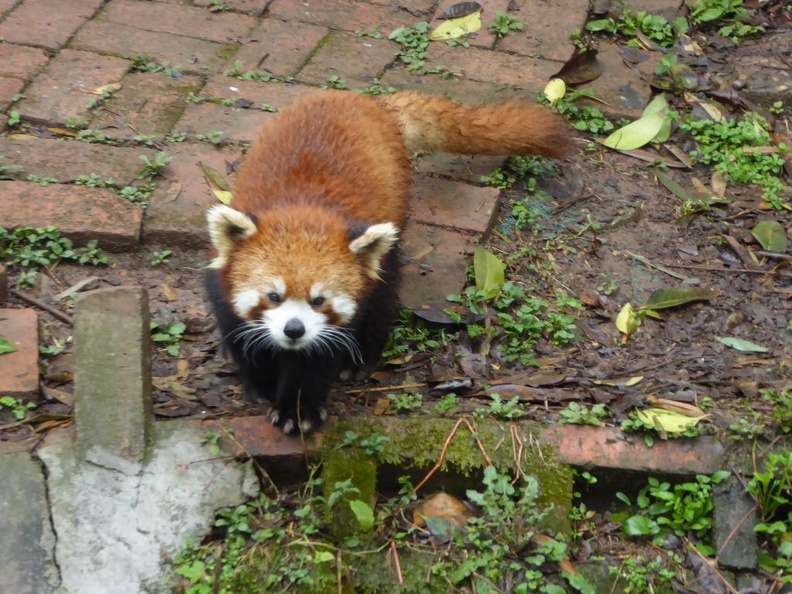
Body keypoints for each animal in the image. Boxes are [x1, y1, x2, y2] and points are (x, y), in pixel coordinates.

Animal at [207, 90, 572, 432]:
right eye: (273, 296)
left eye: (319, 300)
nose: (294, 330)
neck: (302, 210)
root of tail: (366, 101)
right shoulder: (223, 288)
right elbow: (241, 337)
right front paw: (261, 383)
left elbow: (318, 358)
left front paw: (297, 410)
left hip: (388, 240)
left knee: (383, 299)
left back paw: (360, 360)